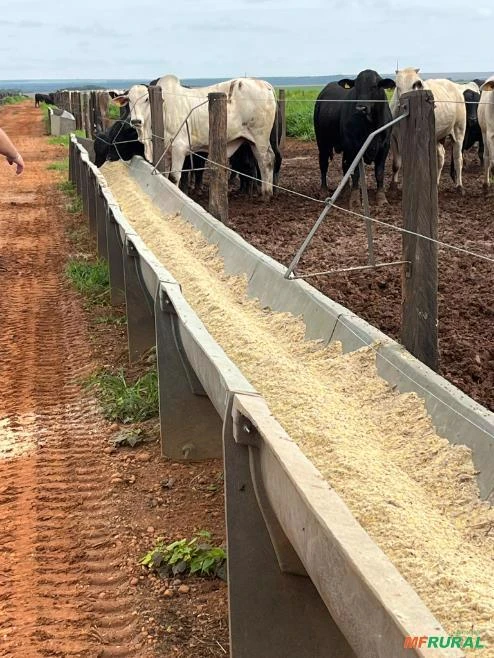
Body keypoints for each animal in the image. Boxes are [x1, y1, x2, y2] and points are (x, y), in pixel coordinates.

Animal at [113, 75, 280, 195]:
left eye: (147, 99)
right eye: (129, 100)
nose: (136, 121)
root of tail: (265, 84)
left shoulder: (179, 148)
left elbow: (174, 177)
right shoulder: (165, 150)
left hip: (261, 137)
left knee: (267, 160)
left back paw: (267, 194)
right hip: (252, 141)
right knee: (260, 161)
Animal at [314, 68, 396, 205]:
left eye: (374, 86)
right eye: (356, 86)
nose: (361, 108)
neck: (371, 123)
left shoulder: (385, 146)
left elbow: (379, 172)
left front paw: (381, 198)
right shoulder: (353, 146)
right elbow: (356, 172)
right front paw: (355, 199)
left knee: (344, 166)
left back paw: (345, 190)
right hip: (323, 142)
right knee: (324, 164)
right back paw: (324, 191)